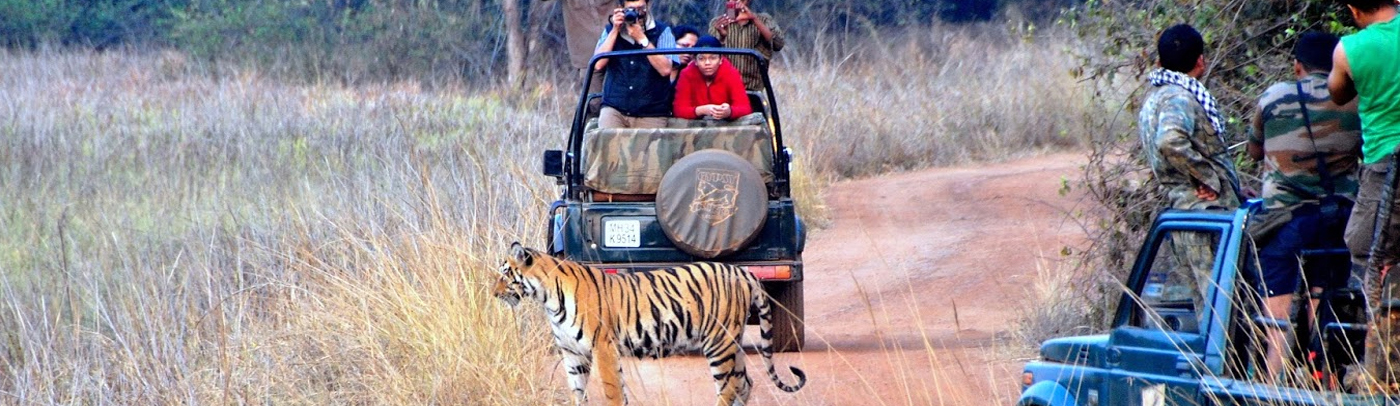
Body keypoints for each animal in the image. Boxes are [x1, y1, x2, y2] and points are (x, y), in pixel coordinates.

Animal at [492, 240, 806, 406]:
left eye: (505, 274)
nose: (494, 293)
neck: (547, 297)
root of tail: (742, 272)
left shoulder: (602, 347)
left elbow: (612, 390)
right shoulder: (573, 353)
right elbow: (577, 391)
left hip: (719, 342)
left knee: (728, 387)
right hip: (732, 342)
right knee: (744, 382)